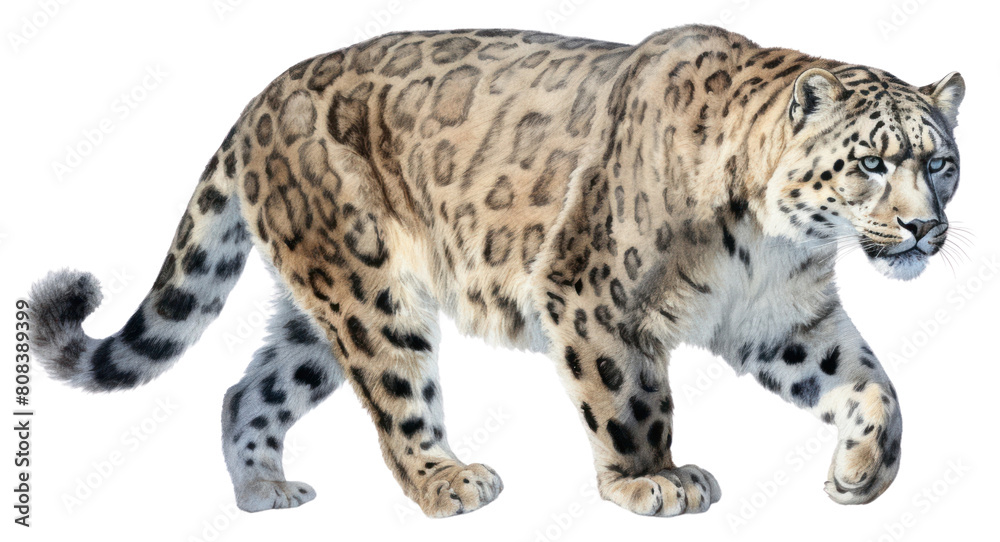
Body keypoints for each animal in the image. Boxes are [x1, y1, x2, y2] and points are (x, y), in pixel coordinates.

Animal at [28, 24, 964, 517]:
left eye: (942, 163)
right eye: (873, 163)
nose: (925, 228)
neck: (772, 242)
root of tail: (260, 101)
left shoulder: (787, 321)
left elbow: (872, 384)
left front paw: (862, 473)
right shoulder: (591, 294)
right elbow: (632, 399)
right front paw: (651, 481)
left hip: (317, 314)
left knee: (247, 389)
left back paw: (266, 491)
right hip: (370, 289)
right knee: (397, 399)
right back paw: (450, 480)